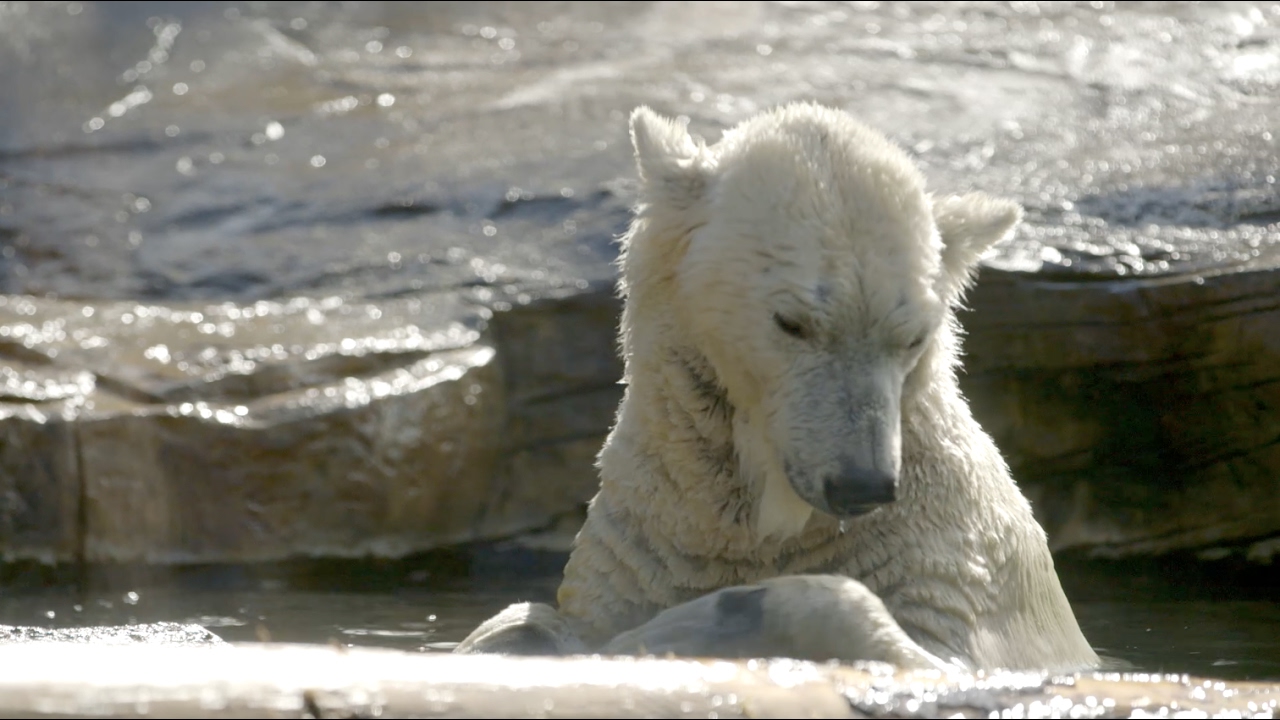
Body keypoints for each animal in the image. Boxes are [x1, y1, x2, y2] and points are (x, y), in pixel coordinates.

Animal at [456, 102, 1100, 673]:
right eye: (792, 323)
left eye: (914, 336)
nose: (861, 483)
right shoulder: (640, 551)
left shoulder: (949, 569)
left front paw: (694, 624)